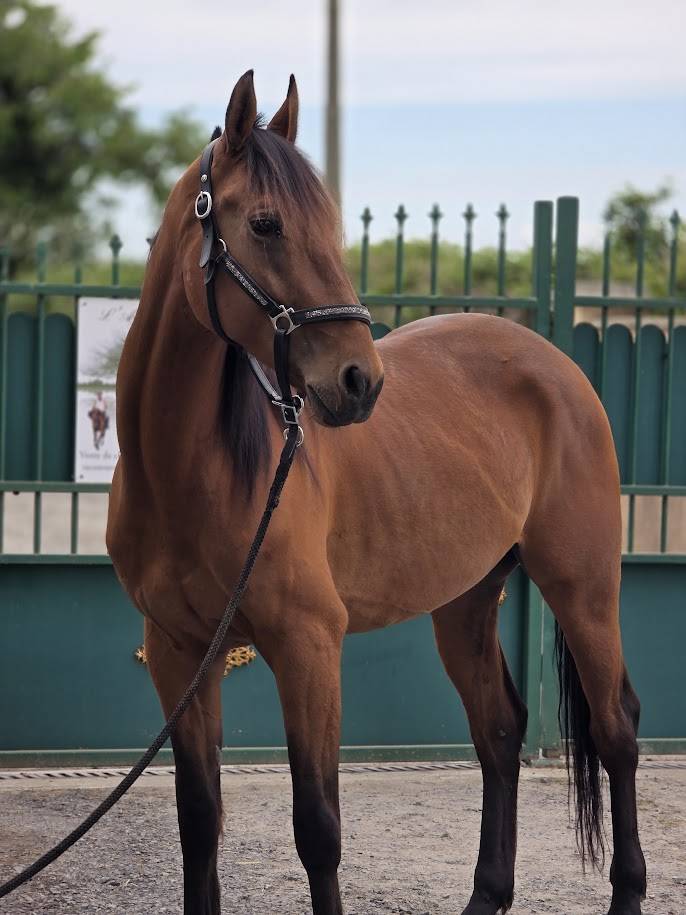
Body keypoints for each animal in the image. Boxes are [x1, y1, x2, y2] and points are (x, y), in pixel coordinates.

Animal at [106, 71, 646, 915]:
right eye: (264, 222)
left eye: (330, 224)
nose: (360, 381)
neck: (187, 475)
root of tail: (558, 363)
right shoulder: (177, 651)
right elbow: (199, 819)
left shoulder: (308, 646)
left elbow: (318, 827)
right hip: (465, 600)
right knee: (499, 731)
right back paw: (485, 895)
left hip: (583, 588)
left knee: (617, 729)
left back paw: (626, 890)